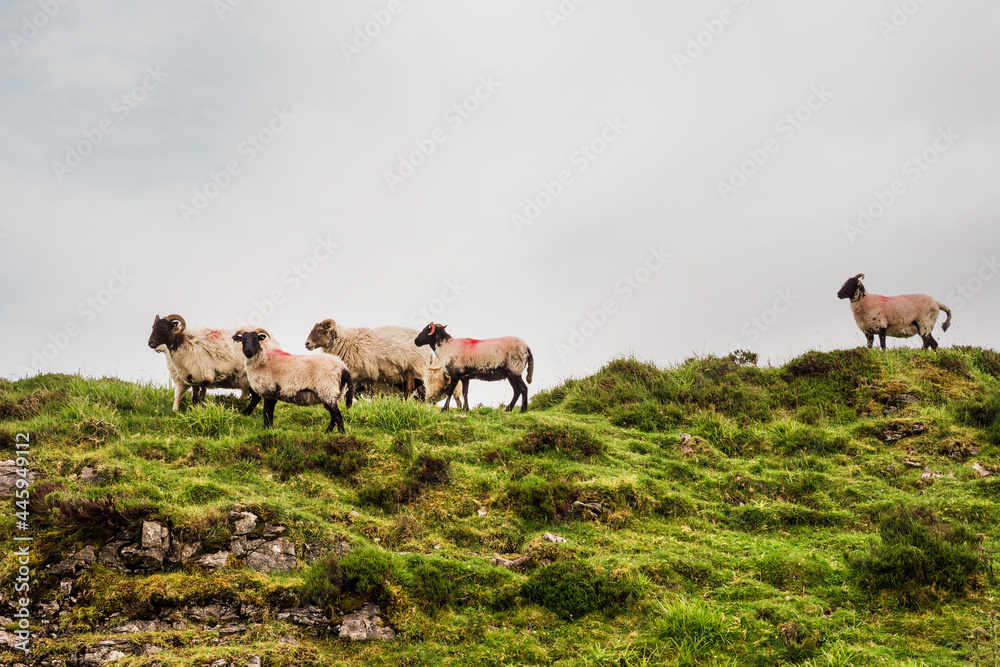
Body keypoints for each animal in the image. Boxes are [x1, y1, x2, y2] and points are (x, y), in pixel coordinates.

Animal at [147, 314, 278, 412]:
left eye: (163, 328)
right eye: (153, 327)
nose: (150, 343)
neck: (185, 343)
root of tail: (274, 342)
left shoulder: (204, 376)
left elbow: (200, 397)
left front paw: (199, 411)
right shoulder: (193, 378)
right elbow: (193, 397)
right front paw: (193, 411)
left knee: (257, 397)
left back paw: (245, 413)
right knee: (256, 397)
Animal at [304, 319, 458, 403]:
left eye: (320, 331)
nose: (307, 344)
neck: (347, 342)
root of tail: (429, 352)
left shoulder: (356, 372)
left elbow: (347, 391)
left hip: (411, 368)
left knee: (410, 389)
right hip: (414, 372)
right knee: (420, 390)